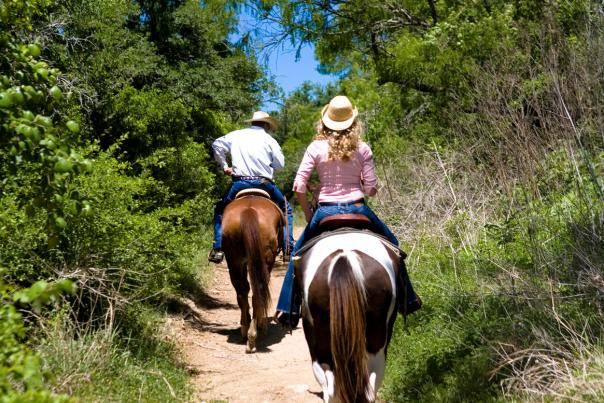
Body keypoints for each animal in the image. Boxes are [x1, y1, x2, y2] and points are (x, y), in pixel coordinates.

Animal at [221, 193, 284, 354]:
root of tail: (249, 211)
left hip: (234, 261)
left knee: (242, 292)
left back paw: (246, 331)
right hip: (264, 261)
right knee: (257, 294)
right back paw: (253, 334)